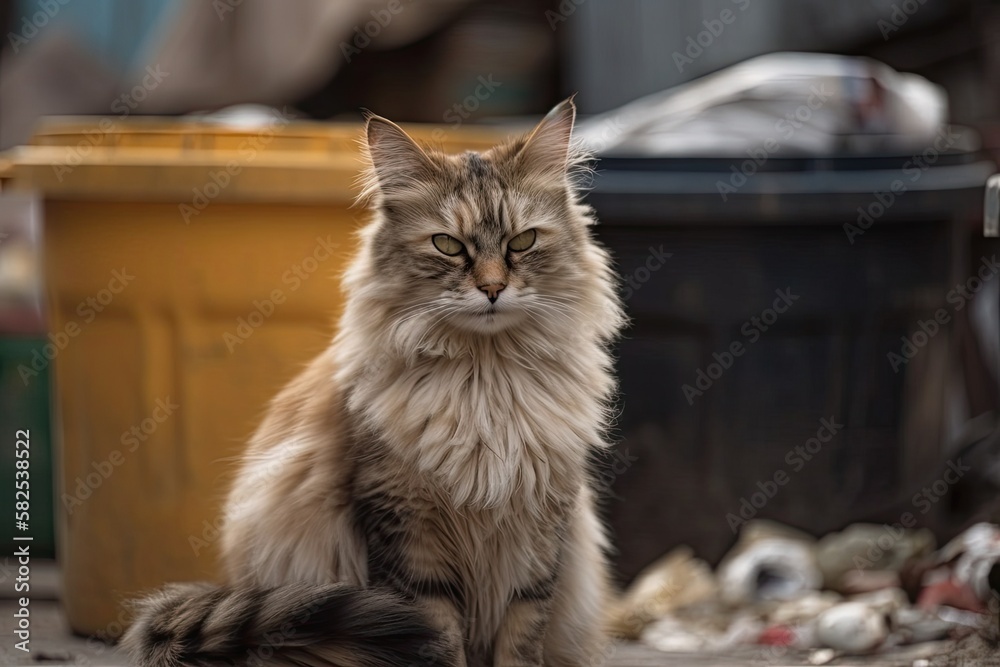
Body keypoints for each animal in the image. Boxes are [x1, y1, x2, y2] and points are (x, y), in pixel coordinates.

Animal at [121, 99, 624, 667]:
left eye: (523, 241)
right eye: (448, 246)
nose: (493, 289)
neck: (484, 379)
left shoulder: (541, 531)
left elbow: (521, 636)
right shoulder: (404, 525)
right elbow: (439, 634)